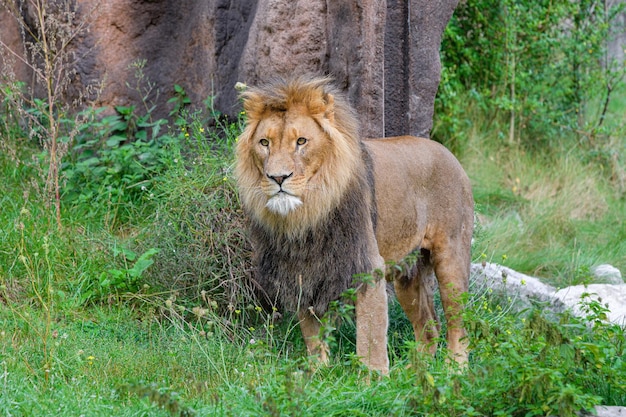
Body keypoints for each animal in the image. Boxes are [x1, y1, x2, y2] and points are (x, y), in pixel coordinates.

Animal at [234, 75, 472, 374]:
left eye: (301, 141)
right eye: (264, 142)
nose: (278, 177)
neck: (308, 215)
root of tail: (447, 152)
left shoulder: (367, 266)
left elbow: (370, 338)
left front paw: (375, 381)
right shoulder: (305, 272)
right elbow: (313, 335)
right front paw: (319, 374)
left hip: (451, 259)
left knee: (458, 325)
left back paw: (454, 372)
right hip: (408, 273)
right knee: (429, 327)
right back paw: (413, 374)